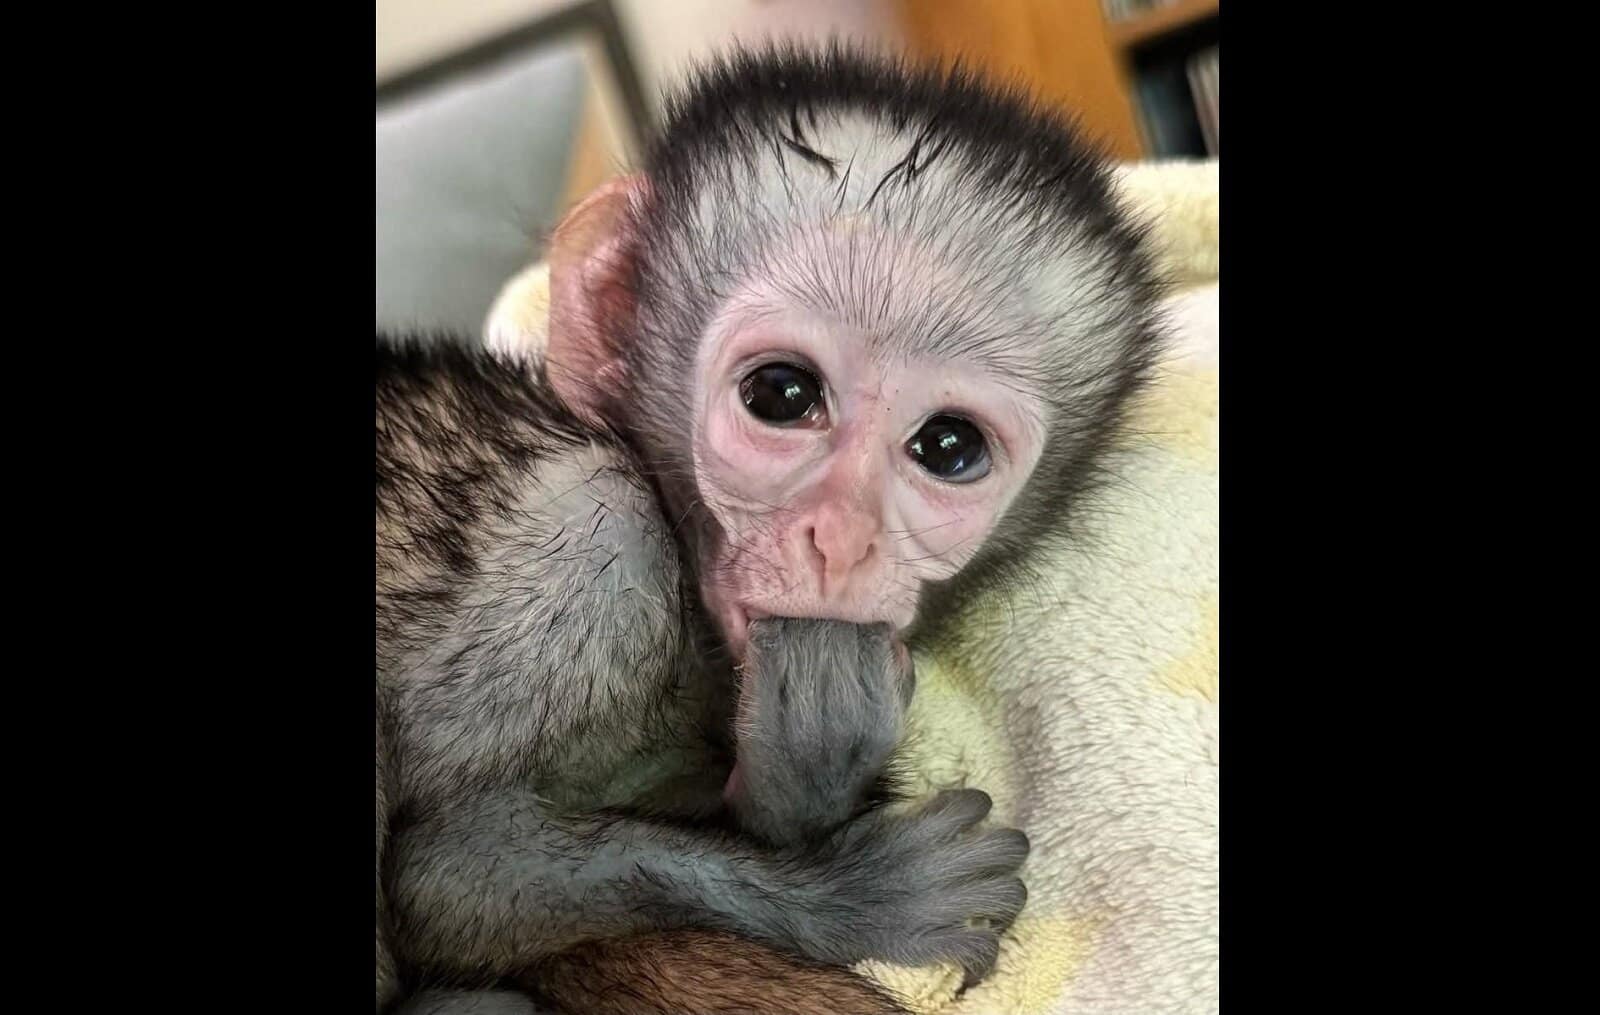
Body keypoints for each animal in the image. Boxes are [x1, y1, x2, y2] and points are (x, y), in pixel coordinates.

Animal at [377, 44, 1165, 1014]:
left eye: (949, 446)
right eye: (782, 394)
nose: (844, 540)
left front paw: (809, 762)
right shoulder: (583, 554)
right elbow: (443, 871)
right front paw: (859, 890)